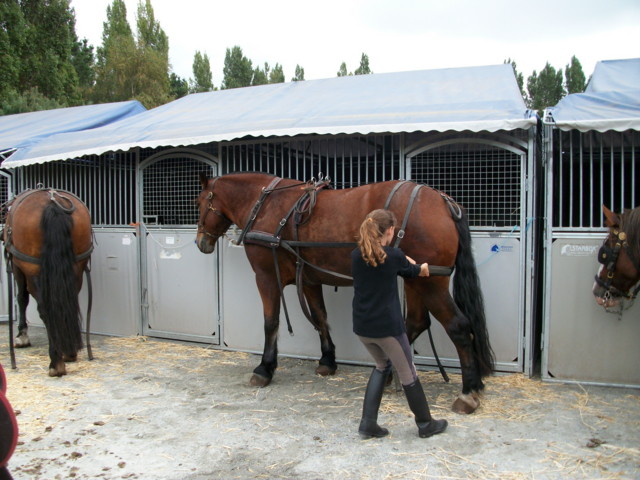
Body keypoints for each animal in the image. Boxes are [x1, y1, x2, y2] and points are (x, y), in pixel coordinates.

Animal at [2, 186, 94, 376]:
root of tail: (53, 204)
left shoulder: (17, 266)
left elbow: (21, 298)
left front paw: (21, 337)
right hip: (77, 265)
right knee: (68, 302)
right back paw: (69, 352)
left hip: (32, 268)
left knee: (45, 308)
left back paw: (56, 362)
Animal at [195, 172, 496, 412]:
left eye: (199, 203)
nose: (200, 243)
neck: (267, 206)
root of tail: (444, 202)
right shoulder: (310, 279)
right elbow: (320, 318)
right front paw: (327, 360)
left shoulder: (266, 277)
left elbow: (271, 323)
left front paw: (264, 368)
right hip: (416, 279)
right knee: (416, 323)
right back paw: (392, 372)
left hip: (430, 283)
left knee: (458, 327)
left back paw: (468, 392)